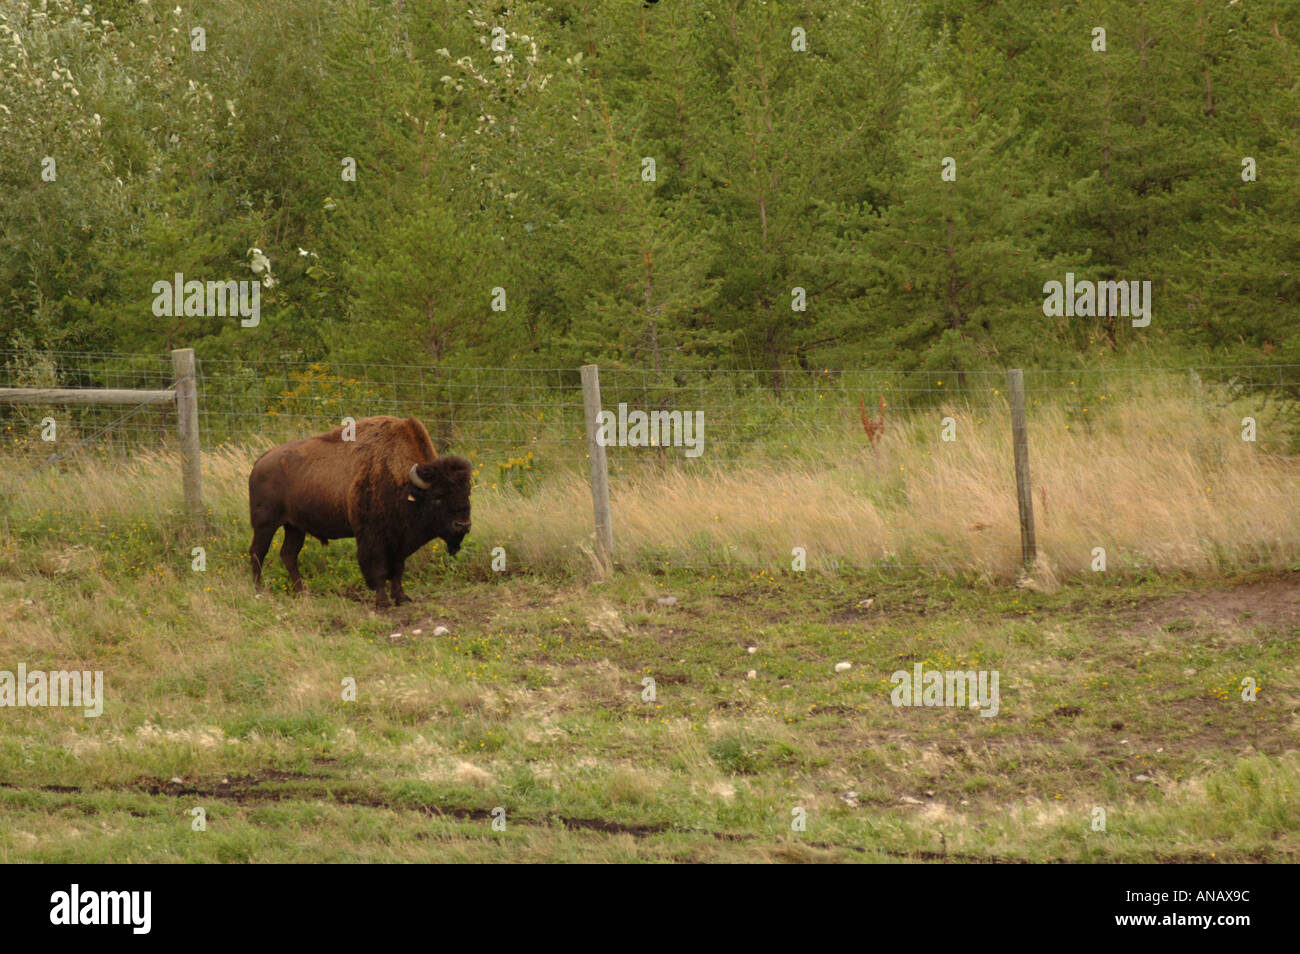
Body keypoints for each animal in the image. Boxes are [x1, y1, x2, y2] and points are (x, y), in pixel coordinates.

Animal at [248, 415, 473, 608]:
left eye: (467, 492)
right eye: (438, 497)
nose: (462, 525)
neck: (406, 486)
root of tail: (260, 461)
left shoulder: (399, 542)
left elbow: (398, 570)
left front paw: (402, 598)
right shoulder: (372, 537)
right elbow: (378, 570)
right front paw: (382, 603)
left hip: (295, 526)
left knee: (288, 554)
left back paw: (303, 592)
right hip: (265, 525)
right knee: (258, 552)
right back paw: (259, 591)